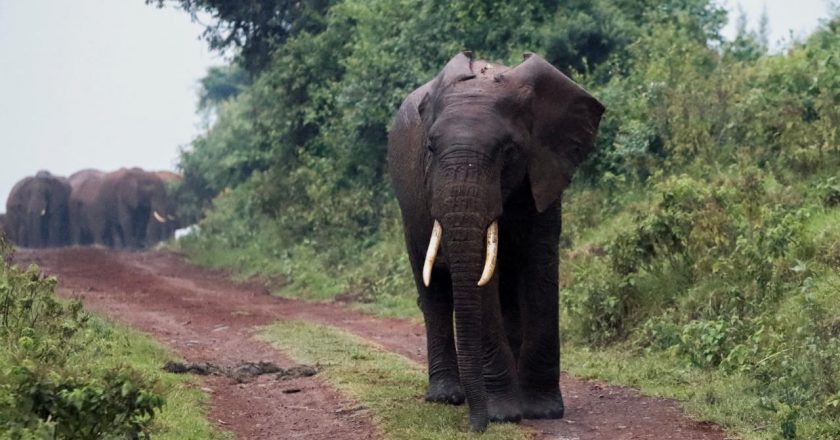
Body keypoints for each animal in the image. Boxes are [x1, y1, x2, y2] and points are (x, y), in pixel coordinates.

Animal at [388, 50, 604, 430]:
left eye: (508, 149)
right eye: (430, 147)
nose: (476, 428)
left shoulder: (544, 168)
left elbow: (540, 265)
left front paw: (543, 412)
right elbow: (481, 281)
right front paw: (504, 414)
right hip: (409, 207)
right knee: (433, 292)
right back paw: (447, 396)